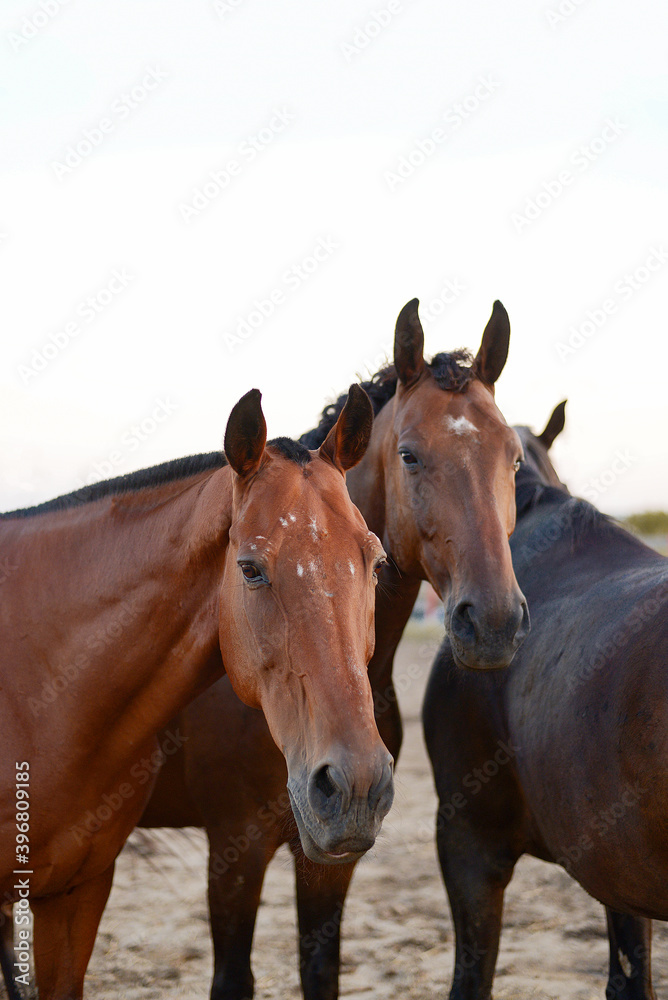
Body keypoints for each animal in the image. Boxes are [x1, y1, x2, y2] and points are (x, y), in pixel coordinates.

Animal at [140, 298, 528, 1000]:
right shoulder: (233, 849)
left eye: (513, 458)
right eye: (409, 454)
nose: (493, 621)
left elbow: (321, 971)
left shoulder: (329, 849)